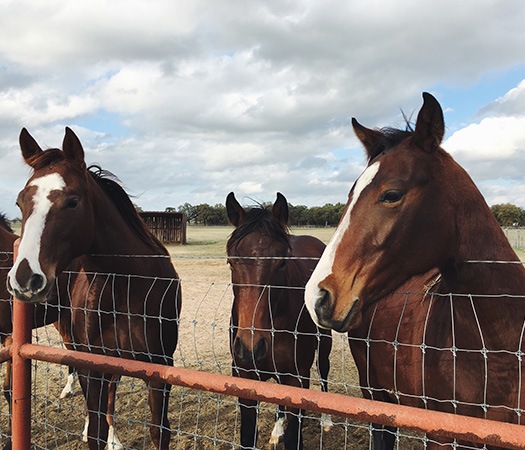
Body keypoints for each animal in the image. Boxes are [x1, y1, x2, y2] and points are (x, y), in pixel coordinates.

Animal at [5, 127, 182, 450]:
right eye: (20, 202)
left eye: (72, 202)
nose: (25, 279)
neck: (129, 286)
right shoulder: (93, 367)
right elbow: (96, 429)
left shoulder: (160, 371)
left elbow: (159, 431)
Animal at [225, 192, 332, 450]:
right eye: (231, 262)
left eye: (282, 262)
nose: (251, 347)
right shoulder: (246, 379)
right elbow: (248, 437)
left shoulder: (297, 379)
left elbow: (295, 437)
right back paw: (277, 429)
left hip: (324, 343)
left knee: (324, 370)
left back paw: (326, 420)